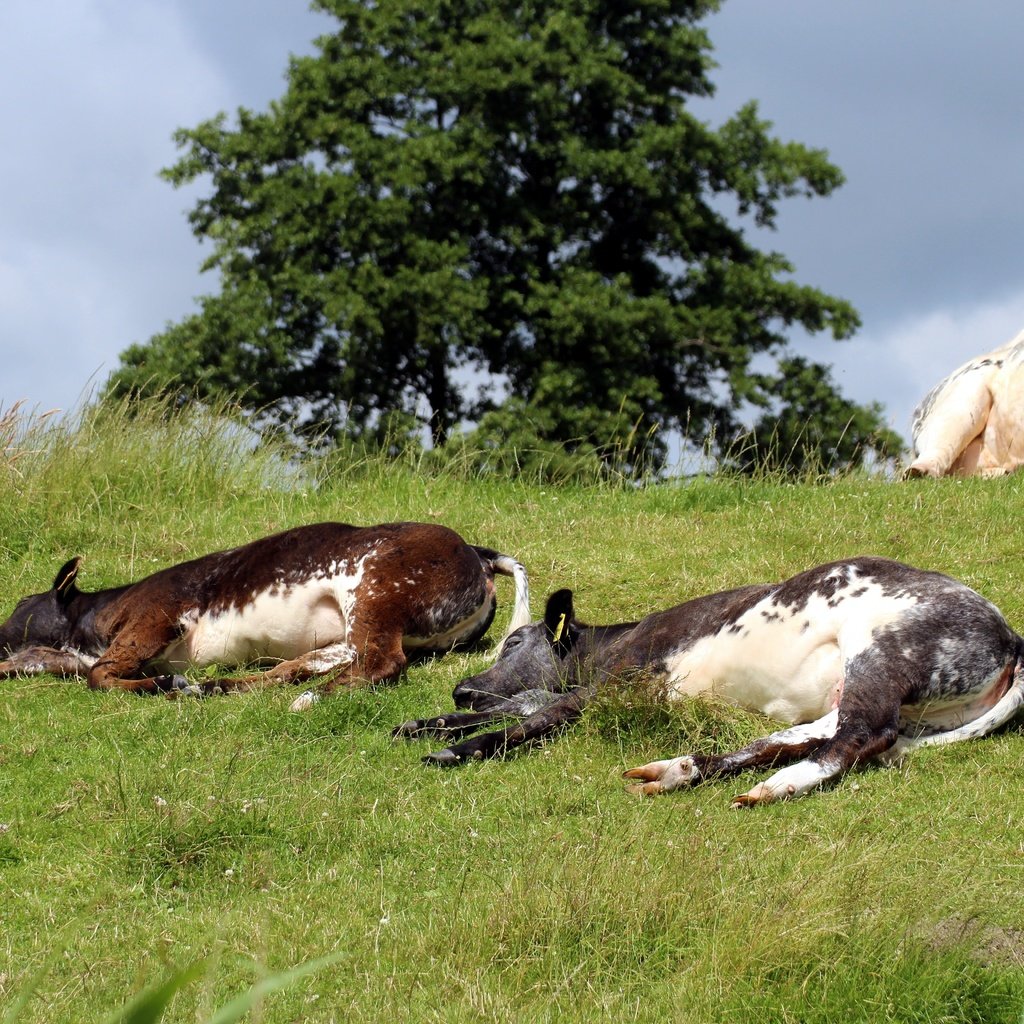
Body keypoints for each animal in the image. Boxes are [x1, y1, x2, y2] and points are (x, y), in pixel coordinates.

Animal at [0, 520, 528, 712]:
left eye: (20, 606)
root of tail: (478, 553)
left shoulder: (156, 615)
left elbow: (103, 676)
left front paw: (165, 684)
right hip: (353, 626)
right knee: (305, 665)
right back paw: (219, 687)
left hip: (374, 588)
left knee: (381, 662)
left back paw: (309, 699)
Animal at [395, 561, 1024, 806]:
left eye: (514, 643)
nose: (462, 687)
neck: (614, 642)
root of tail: (1011, 635)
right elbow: (526, 703)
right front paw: (430, 722)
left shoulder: (618, 683)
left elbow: (538, 713)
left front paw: (461, 746)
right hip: (856, 693)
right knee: (805, 737)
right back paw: (680, 770)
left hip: (880, 653)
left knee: (856, 739)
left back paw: (777, 786)